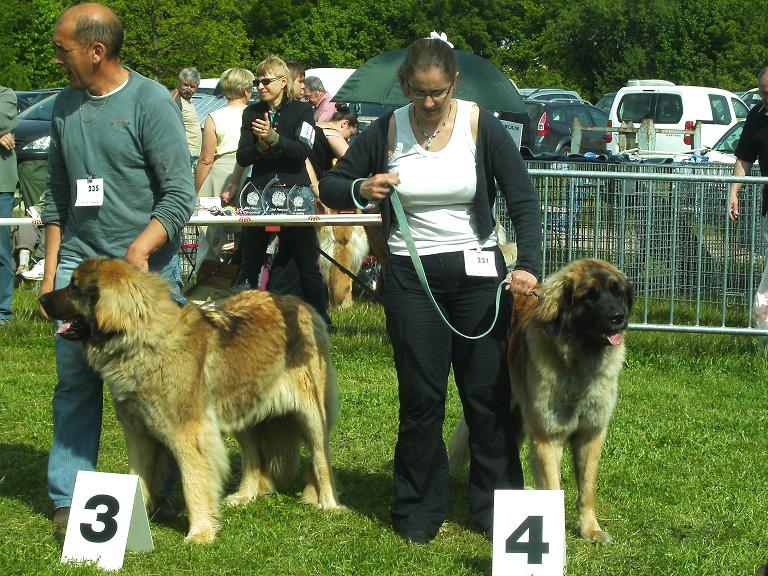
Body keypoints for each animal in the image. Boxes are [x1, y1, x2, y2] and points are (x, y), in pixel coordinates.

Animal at [38, 258, 344, 544]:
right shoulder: (138, 433)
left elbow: (193, 481)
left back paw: (328, 504)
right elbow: (138, 477)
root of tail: (298, 302)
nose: (42, 299)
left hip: (311, 413)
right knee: (253, 457)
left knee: (320, 457)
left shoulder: (188, 434)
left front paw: (200, 532)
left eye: (75, 288)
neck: (143, 341)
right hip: (241, 409)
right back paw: (245, 495)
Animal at [448, 258, 632, 544]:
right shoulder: (548, 437)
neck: (576, 364)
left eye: (617, 293)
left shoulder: (591, 433)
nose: (618, 317)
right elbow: (553, 486)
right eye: (590, 296)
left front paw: (590, 528)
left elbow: (587, 488)